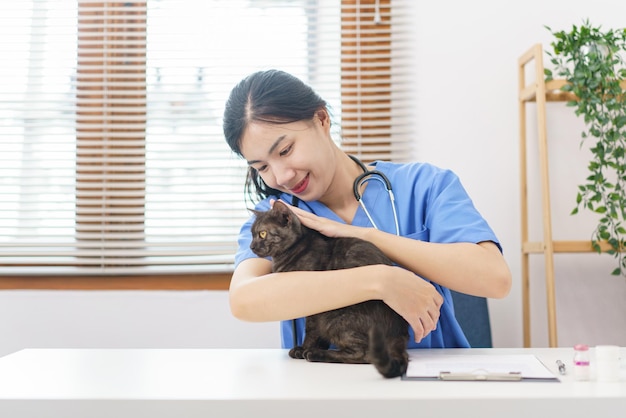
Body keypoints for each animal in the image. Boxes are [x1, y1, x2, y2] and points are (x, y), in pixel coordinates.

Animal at [249, 200, 410, 378]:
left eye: (262, 234)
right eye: (252, 234)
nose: (251, 246)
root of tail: (399, 333)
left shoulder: (314, 302)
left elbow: (311, 329)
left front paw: (304, 349)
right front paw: (316, 346)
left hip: (334, 317)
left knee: (364, 354)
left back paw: (316, 354)